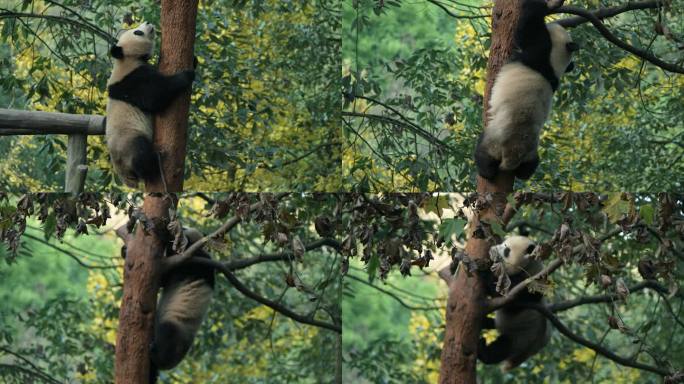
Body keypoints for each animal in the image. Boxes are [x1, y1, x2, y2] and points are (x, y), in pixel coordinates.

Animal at [105, 22, 195, 188]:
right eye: (138, 32)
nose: (148, 23)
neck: (127, 60)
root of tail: (126, 176)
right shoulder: (133, 81)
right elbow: (155, 96)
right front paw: (186, 75)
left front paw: (193, 60)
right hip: (129, 140)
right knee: (141, 154)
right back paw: (155, 162)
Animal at [150, 230, 214, 382]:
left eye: (184, 229)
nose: (181, 228)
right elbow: (162, 280)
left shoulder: (194, 264)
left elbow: (164, 276)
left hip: (176, 327)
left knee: (168, 336)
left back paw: (156, 355)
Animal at [476, 0, 576, 181]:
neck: (554, 63)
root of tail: (511, 157)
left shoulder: (539, 49)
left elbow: (526, 29)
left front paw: (538, 5)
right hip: (531, 151)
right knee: (528, 169)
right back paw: (522, 172)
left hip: (494, 138)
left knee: (484, 155)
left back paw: (485, 171)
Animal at [478, 236, 552, 370]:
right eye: (502, 243)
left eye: (507, 250)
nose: (492, 249)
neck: (530, 267)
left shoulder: (530, 286)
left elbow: (507, 299)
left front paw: (483, 269)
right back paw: (485, 322)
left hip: (521, 338)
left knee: (502, 348)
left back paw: (483, 350)